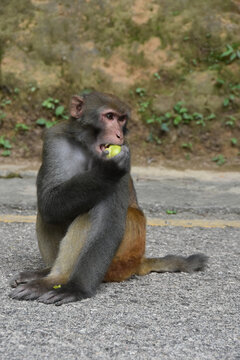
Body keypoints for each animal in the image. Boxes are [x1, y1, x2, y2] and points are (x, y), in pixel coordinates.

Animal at [9, 91, 208, 306]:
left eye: (121, 120)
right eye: (109, 117)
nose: (119, 134)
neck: (87, 148)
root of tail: (138, 261)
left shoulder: (127, 153)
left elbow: (107, 221)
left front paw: (76, 289)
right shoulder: (55, 141)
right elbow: (49, 202)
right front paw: (107, 170)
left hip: (118, 261)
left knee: (90, 212)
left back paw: (56, 280)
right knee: (48, 213)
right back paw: (47, 274)